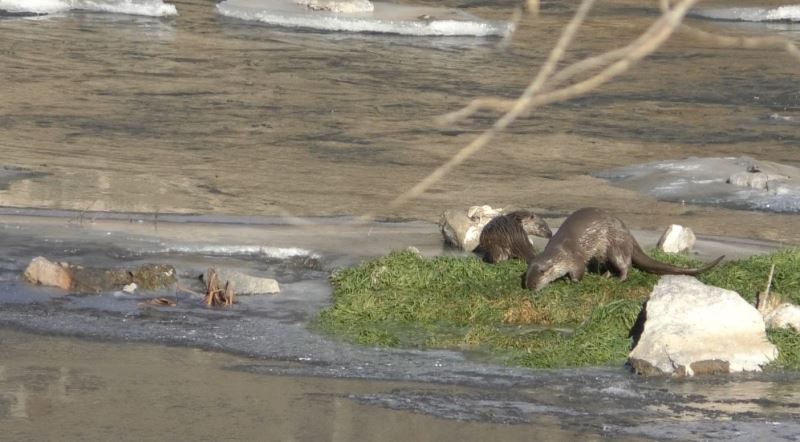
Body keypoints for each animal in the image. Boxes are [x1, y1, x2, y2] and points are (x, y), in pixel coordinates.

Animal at [524, 209, 724, 292]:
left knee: (625, 265)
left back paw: (619, 279)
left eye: (541, 274)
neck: (561, 251)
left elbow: (578, 272)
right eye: (527, 276)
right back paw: (604, 276)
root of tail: (627, 232)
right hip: (604, 253)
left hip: (615, 247)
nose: (530, 287)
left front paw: (571, 281)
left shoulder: (575, 259)